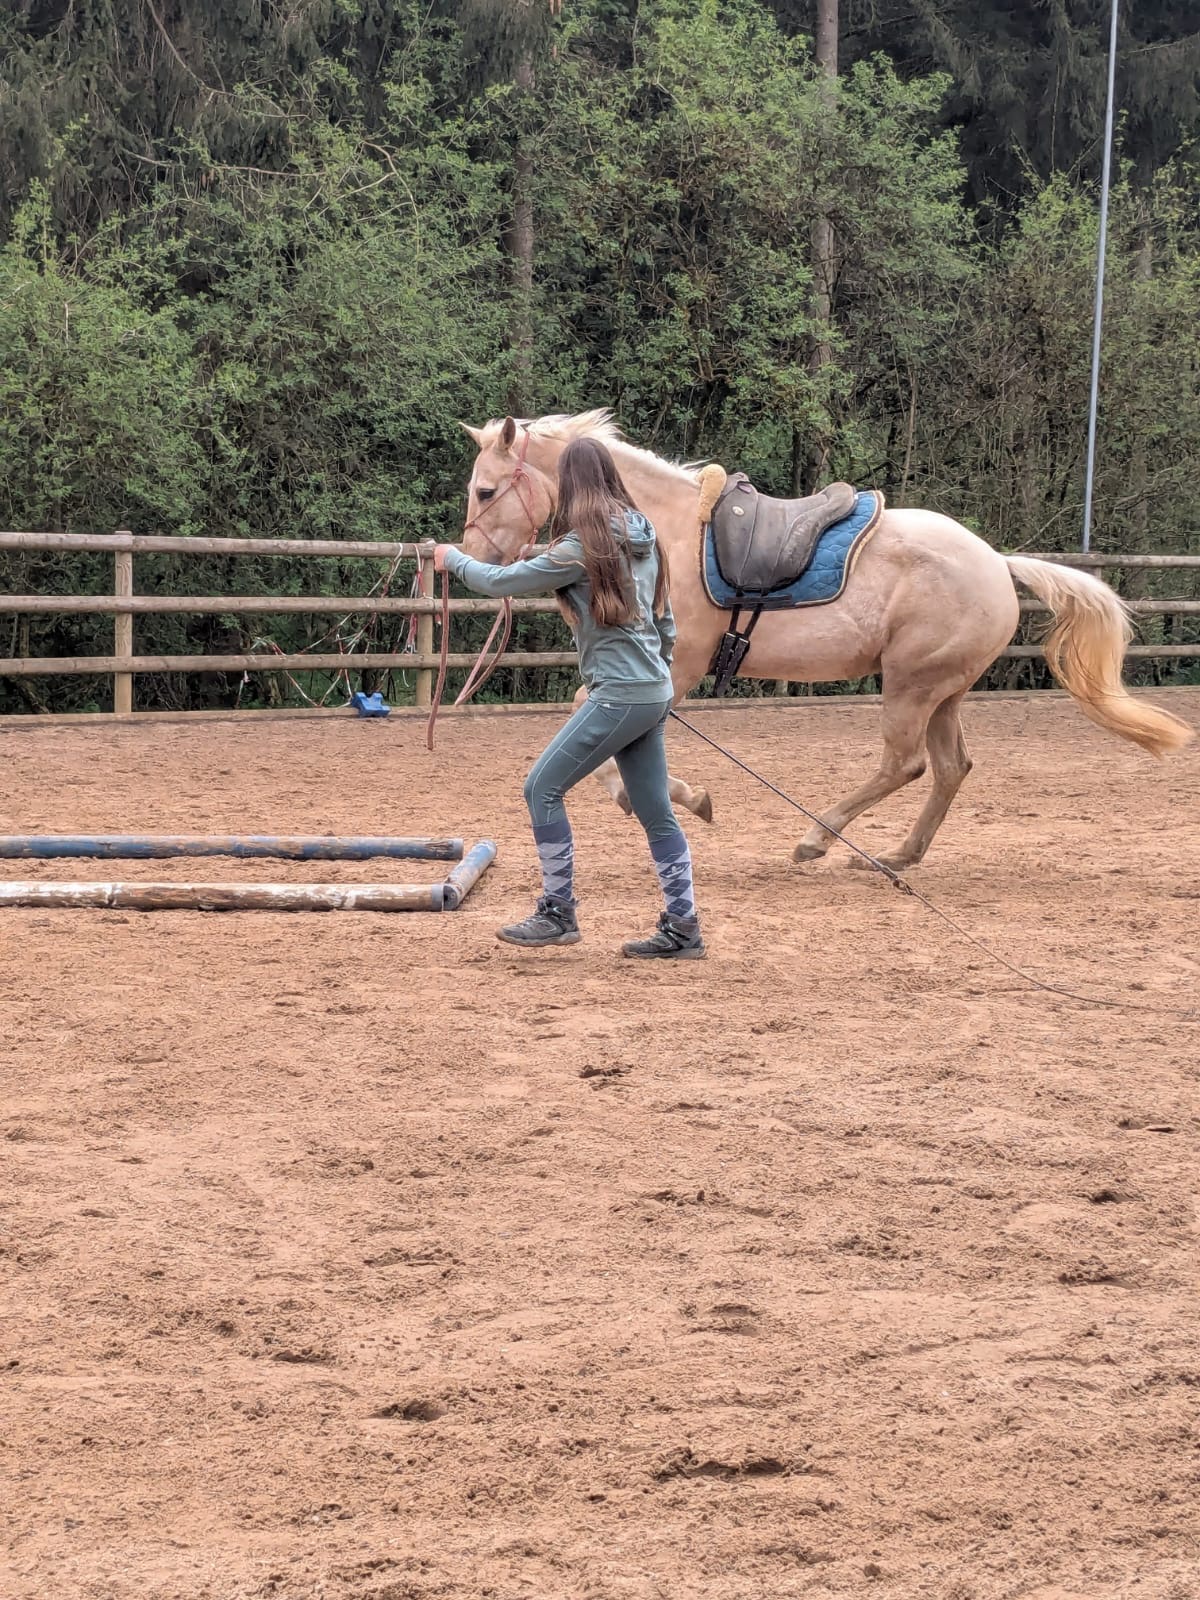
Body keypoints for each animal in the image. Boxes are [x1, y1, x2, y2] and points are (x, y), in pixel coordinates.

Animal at [457, 409, 1192, 870]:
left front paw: (690, 800)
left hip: (911, 686)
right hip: (945, 692)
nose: (477, 564)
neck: (656, 526)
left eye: (486, 489)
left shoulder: (674, 667)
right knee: (950, 768)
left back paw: (817, 840)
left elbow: (598, 723)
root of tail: (995, 560)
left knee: (905, 765)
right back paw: (899, 855)